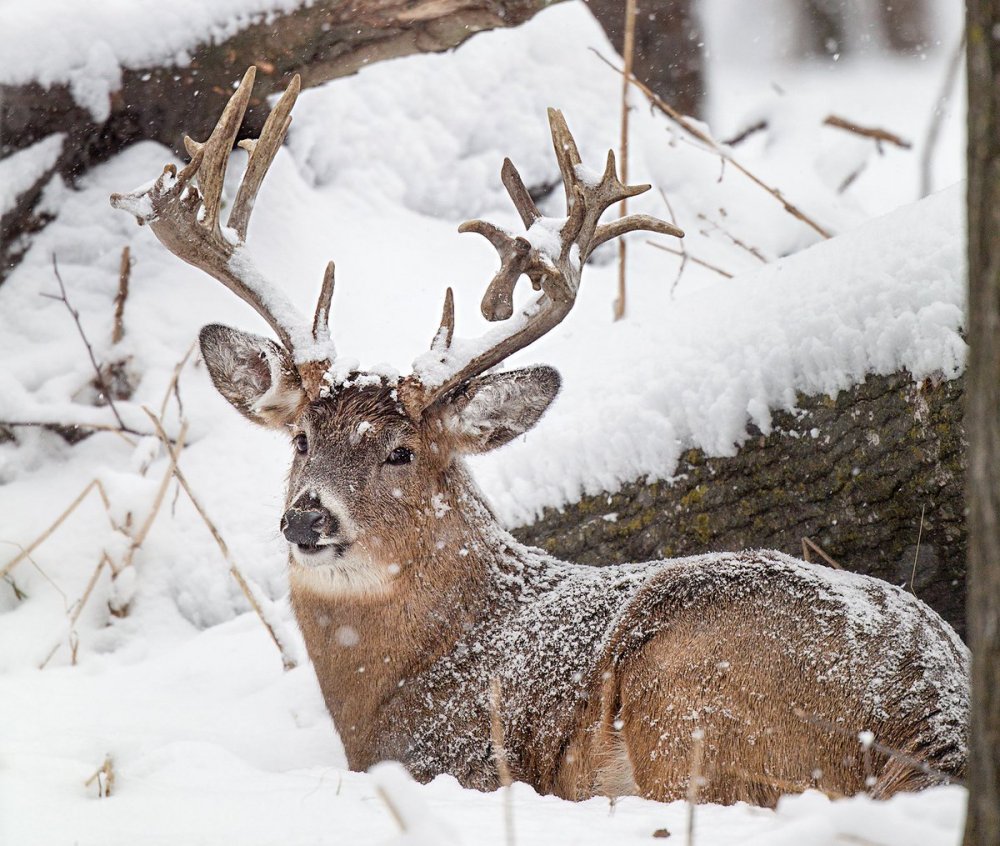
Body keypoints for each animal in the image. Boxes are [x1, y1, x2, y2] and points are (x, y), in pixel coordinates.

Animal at [111, 66, 968, 808]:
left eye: (401, 452)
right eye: (299, 440)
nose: (306, 517)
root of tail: (932, 709)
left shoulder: (467, 758)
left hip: (692, 688)